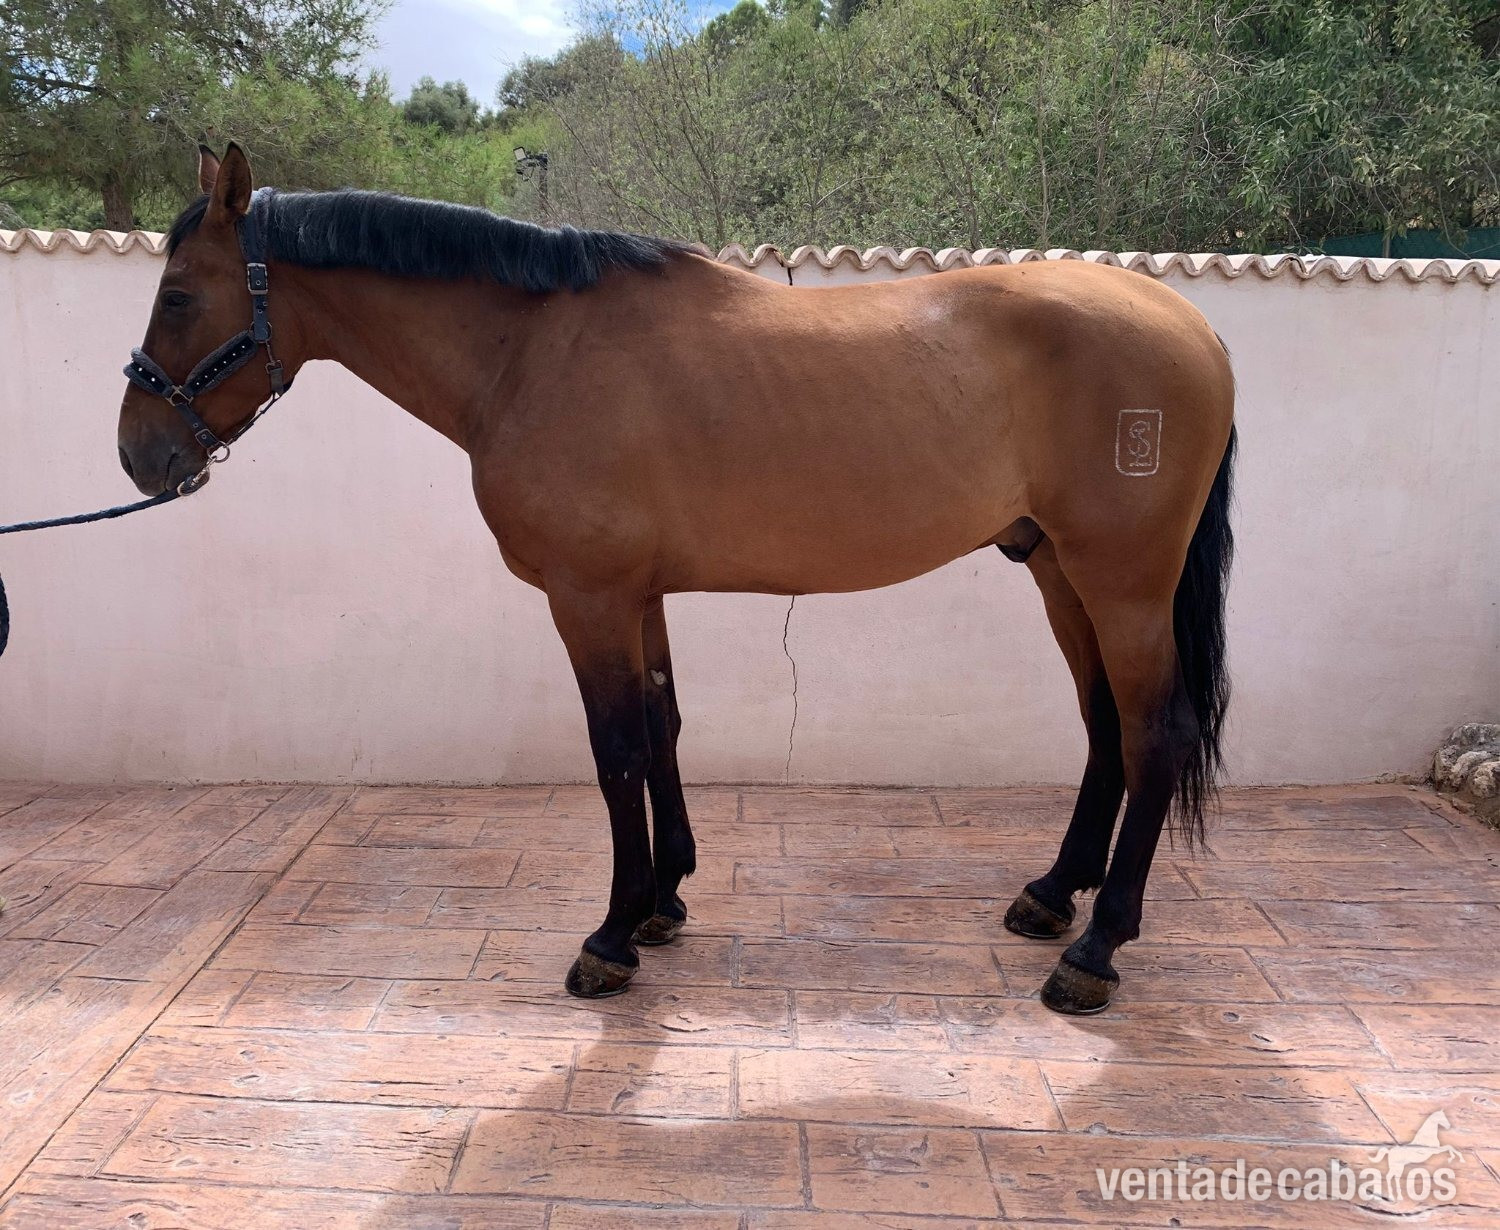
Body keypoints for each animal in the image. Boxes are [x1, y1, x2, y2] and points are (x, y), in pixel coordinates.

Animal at [116, 144, 1236, 1015]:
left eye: (178, 296)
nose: (139, 456)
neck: (532, 352)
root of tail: (1194, 327)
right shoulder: (638, 596)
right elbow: (661, 727)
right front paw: (663, 902)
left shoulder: (588, 597)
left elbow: (615, 749)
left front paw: (610, 938)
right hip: (1059, 572)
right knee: (1105, 725)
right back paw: (1053, 897)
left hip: (1124, 583)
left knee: (1156, 730)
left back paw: (1096, 950)